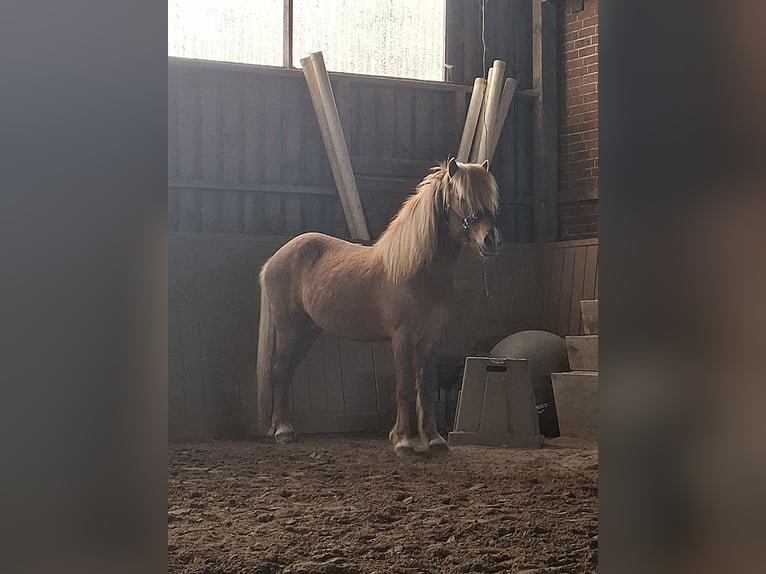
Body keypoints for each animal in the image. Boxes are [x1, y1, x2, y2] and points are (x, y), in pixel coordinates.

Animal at [256, 158, 501, 455]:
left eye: (491, 199)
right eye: (462, 198)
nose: (490, 241)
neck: (417, 270)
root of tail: (274, 259)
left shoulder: (431, 339)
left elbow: (426, 388)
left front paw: (434, 439)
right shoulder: (402, 337)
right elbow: (404, 388)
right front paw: (403, 441)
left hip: (308, 332)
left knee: (287, 372)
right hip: (289, 328)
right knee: (279, 372)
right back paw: (283, 431)